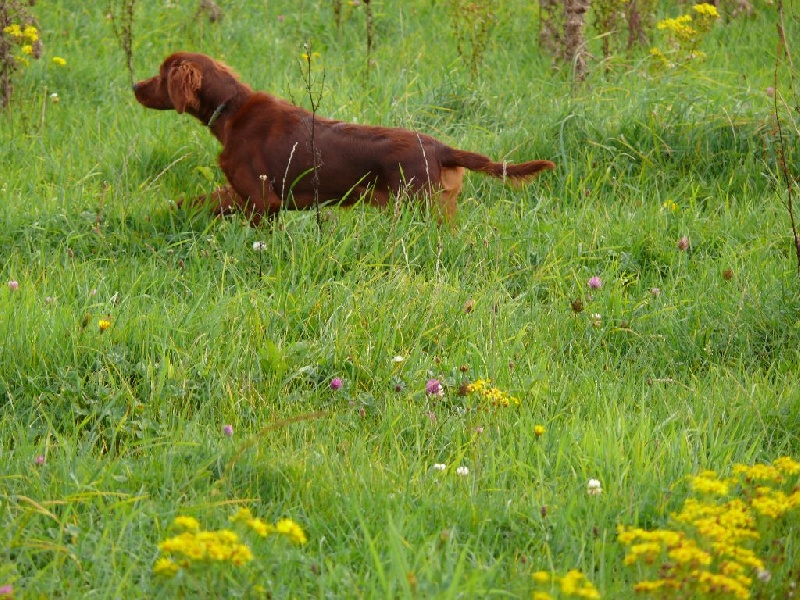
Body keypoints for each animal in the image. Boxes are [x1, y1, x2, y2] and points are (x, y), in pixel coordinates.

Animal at [133, 50, 556, 225]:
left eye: (160, 74)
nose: (134, 86)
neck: (231, 111)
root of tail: (441, 148)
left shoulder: (262, 201)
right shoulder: (240, 194)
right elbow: (192, 202)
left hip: (419, 206)